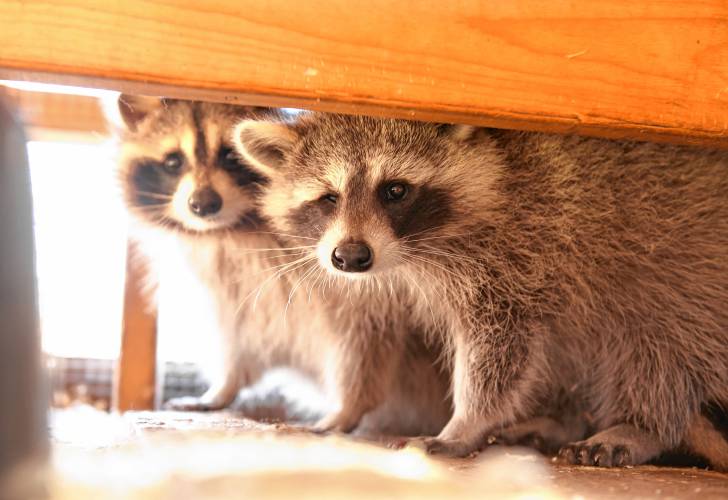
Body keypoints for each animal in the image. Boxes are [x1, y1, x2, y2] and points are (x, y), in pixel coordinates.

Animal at [114, 95, 450, 436]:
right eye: (173, 162)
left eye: (231, 155)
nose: (203, 204)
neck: (231, 230)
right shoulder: (234, 284)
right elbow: (240, 334)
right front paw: (225, 385)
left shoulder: (360, 289)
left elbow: (364, 338)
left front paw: (350, 405)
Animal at [232, 112, 728, 468]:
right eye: (328, 198)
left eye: (395, 190)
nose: (351, 257)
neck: (408, 255)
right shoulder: (369, 285)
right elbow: (366, 341)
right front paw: (348, 406)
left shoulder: (519, 253)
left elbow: (500, 347)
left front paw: (466, 423)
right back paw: (559, 419)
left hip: (685, 276)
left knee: (658, 347)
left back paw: (640, 425)